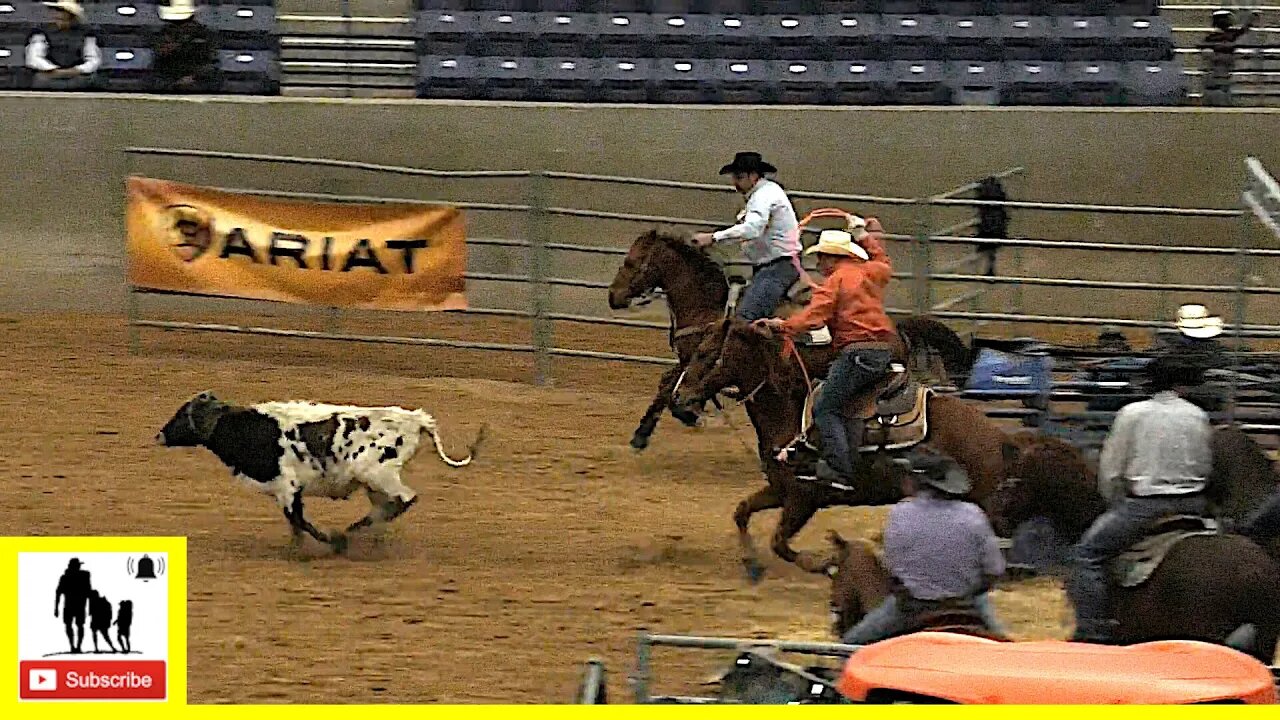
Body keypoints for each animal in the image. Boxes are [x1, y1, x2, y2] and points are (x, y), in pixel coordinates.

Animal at [156, 389, 483, 550]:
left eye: (182, 415)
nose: (159, 435)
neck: (252, 429)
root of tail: (416, 419)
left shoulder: (287, 487)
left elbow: (299, 520)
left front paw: (332, 541)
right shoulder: (287, 491)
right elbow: (295, 522)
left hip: (377, 474)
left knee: (404, 499)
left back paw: (356, 531)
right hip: (374, 482)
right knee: (389, 504)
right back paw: (367, 532)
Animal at [609, 226, 967, 448]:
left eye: (630, 261)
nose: (613, 297)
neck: (706, 308)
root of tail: (897, 328)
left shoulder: (701, 358)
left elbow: (671, 384)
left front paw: (661, 425)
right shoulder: (692, 360)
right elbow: (670, 382)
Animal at [670, 316, 1018, 579]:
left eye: (704, 353)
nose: (678, 398)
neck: (789, 416)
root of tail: (996, 436)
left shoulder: (803, 498)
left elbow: (779, 543)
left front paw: (828, 564)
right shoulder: (780, 489)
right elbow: (742, 512)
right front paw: (752, 564)